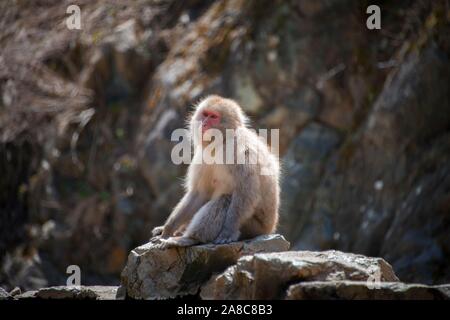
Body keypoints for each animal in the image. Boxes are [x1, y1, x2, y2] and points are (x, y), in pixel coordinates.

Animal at [153, 94, 280, 249]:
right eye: (205, 114)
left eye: (214, 117)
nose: (204, 124)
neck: (221, 142)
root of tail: (269, 229)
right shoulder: (202, 156)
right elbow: (199, 193)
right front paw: (167, 229)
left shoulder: (239, 150)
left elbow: (246, 193)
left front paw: (227, 232)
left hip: (253, 228)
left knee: (225, 200)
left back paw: (189, 238)